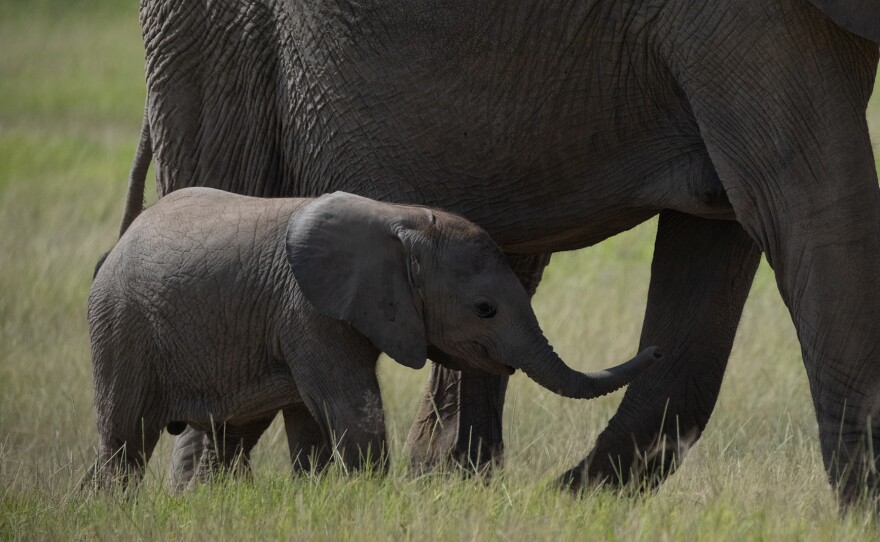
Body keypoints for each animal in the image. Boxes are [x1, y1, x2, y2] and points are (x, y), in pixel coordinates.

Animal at [85, 187, 660, 488]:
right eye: (485, 309)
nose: (656, 348)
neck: (401, 219)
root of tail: (117, 245)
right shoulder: (310, 311)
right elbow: (351, 407)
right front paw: (370, 495)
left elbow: (311, 421)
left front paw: (318, 495)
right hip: (121, 326)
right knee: (125, 437)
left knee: (222, 437)